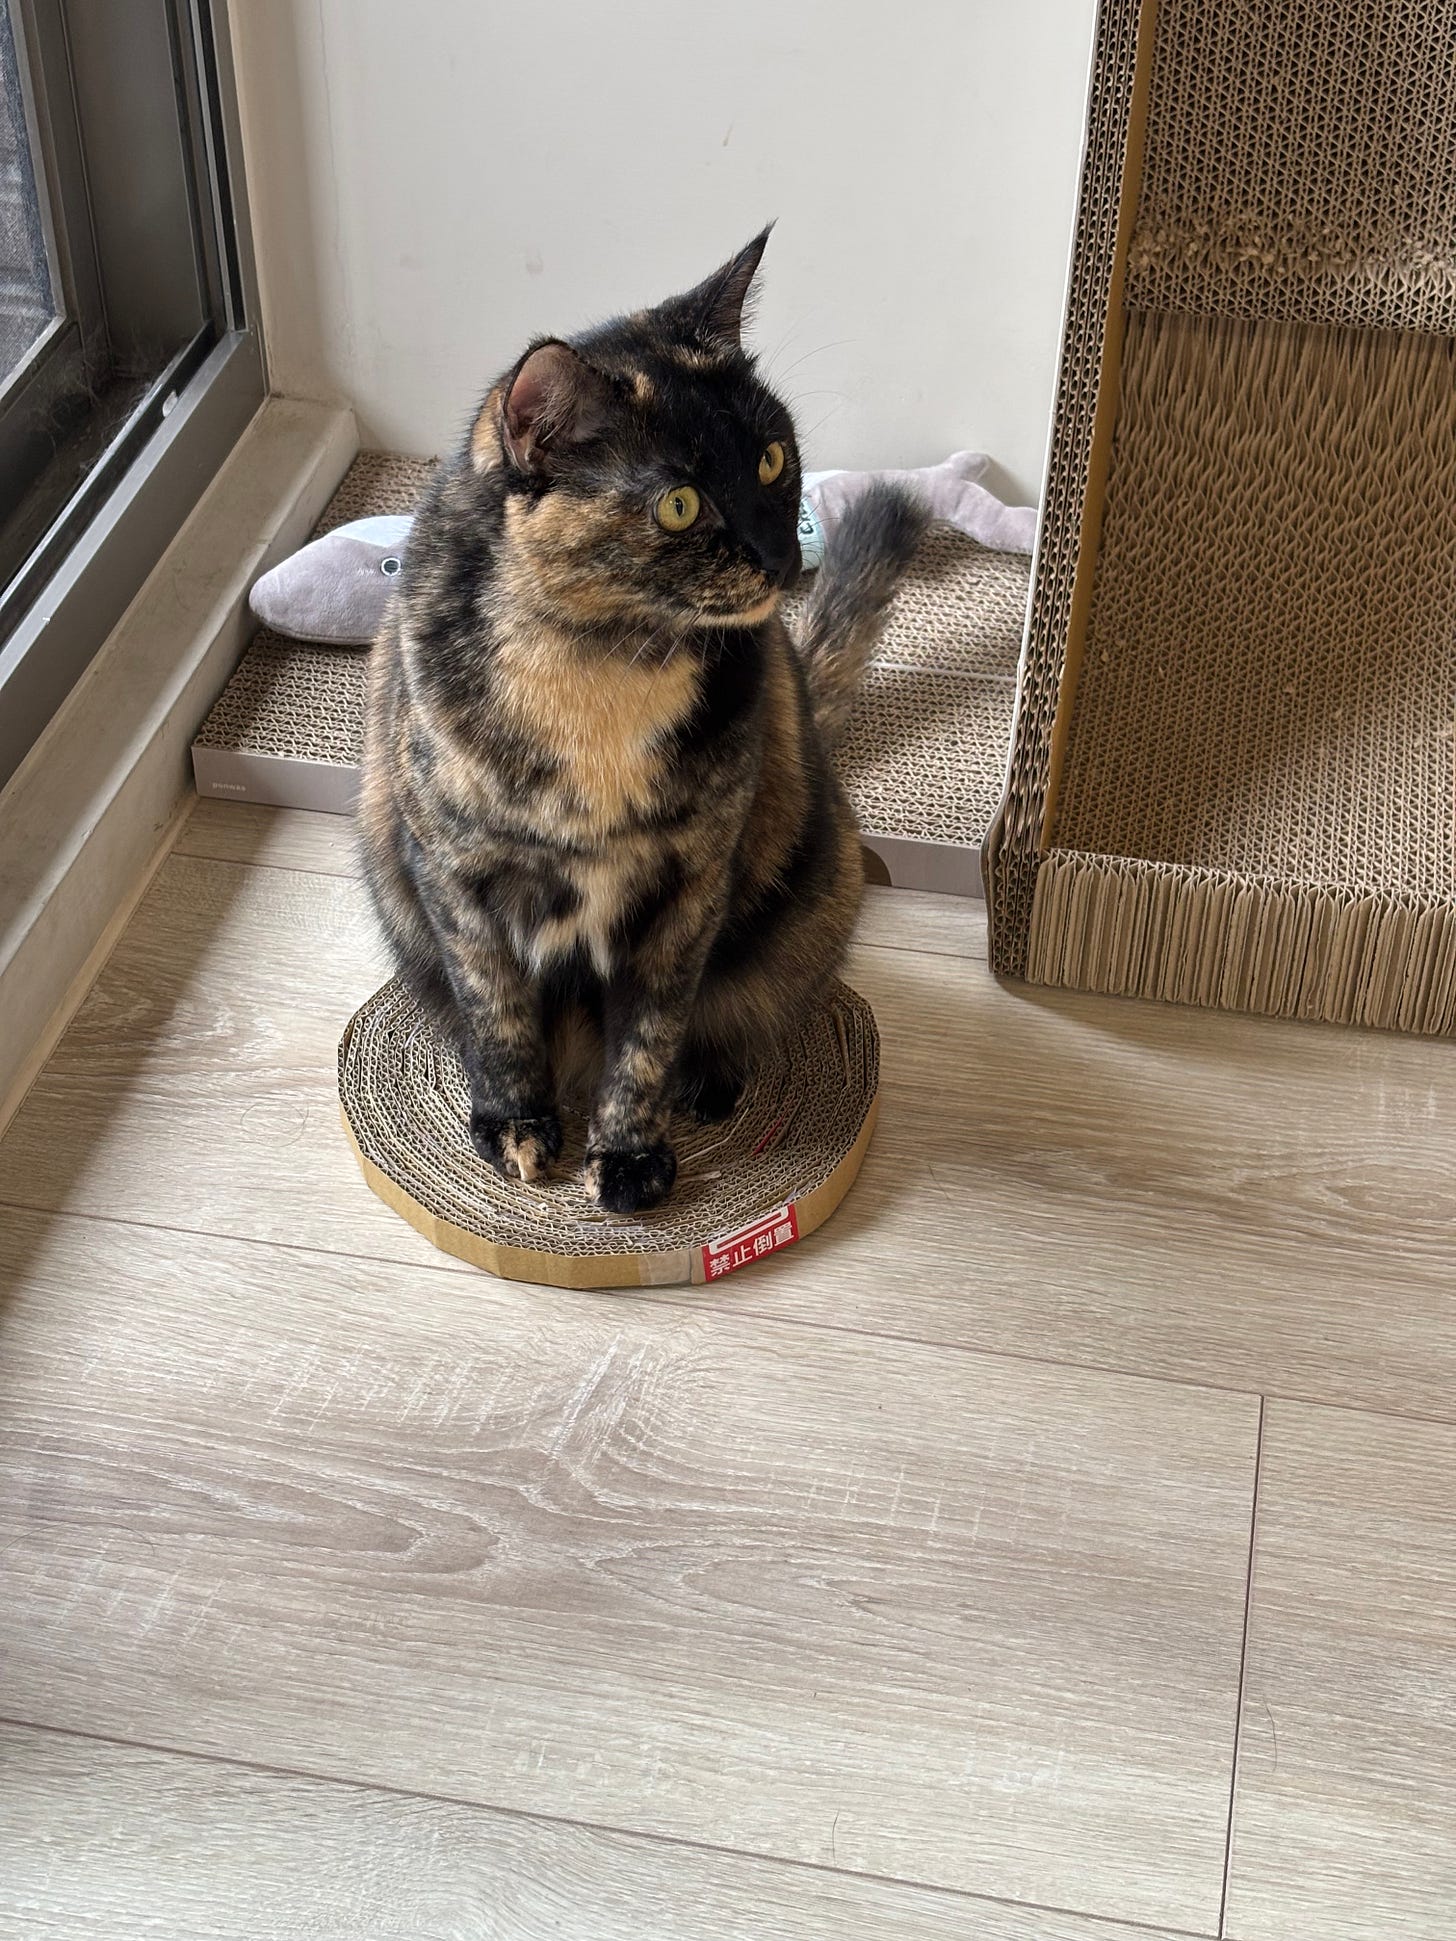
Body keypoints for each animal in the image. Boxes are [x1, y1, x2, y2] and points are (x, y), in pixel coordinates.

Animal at [359, 229, 925, 1214]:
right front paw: (517, 1125)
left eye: (772, 458)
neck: (601, 665)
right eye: (679, 503)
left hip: (815, 892)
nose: (781, 557)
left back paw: (711, 1085)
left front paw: (626, 1157)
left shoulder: (691, 884)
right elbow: (497, 1007)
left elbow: (649, 1033)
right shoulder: (456, 878)